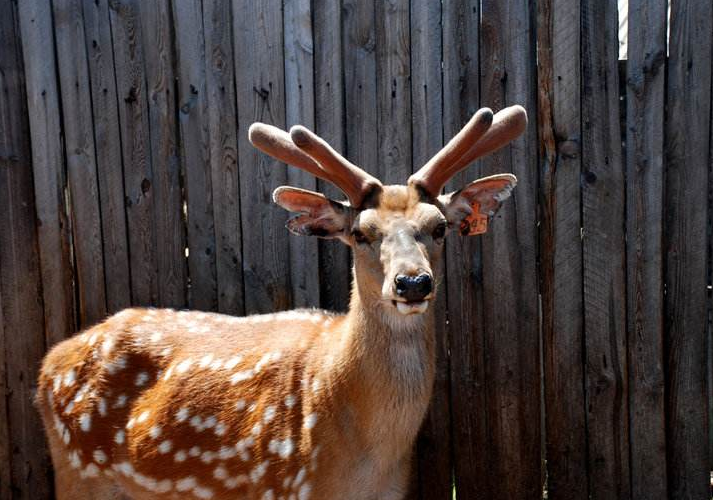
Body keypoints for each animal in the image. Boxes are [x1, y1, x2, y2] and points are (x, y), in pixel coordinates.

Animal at [36, 103, 524, 498]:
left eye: (439, 227)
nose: (412, 282)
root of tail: (47, 366)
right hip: (79, 471)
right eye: (360, 233)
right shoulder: (284, 485)